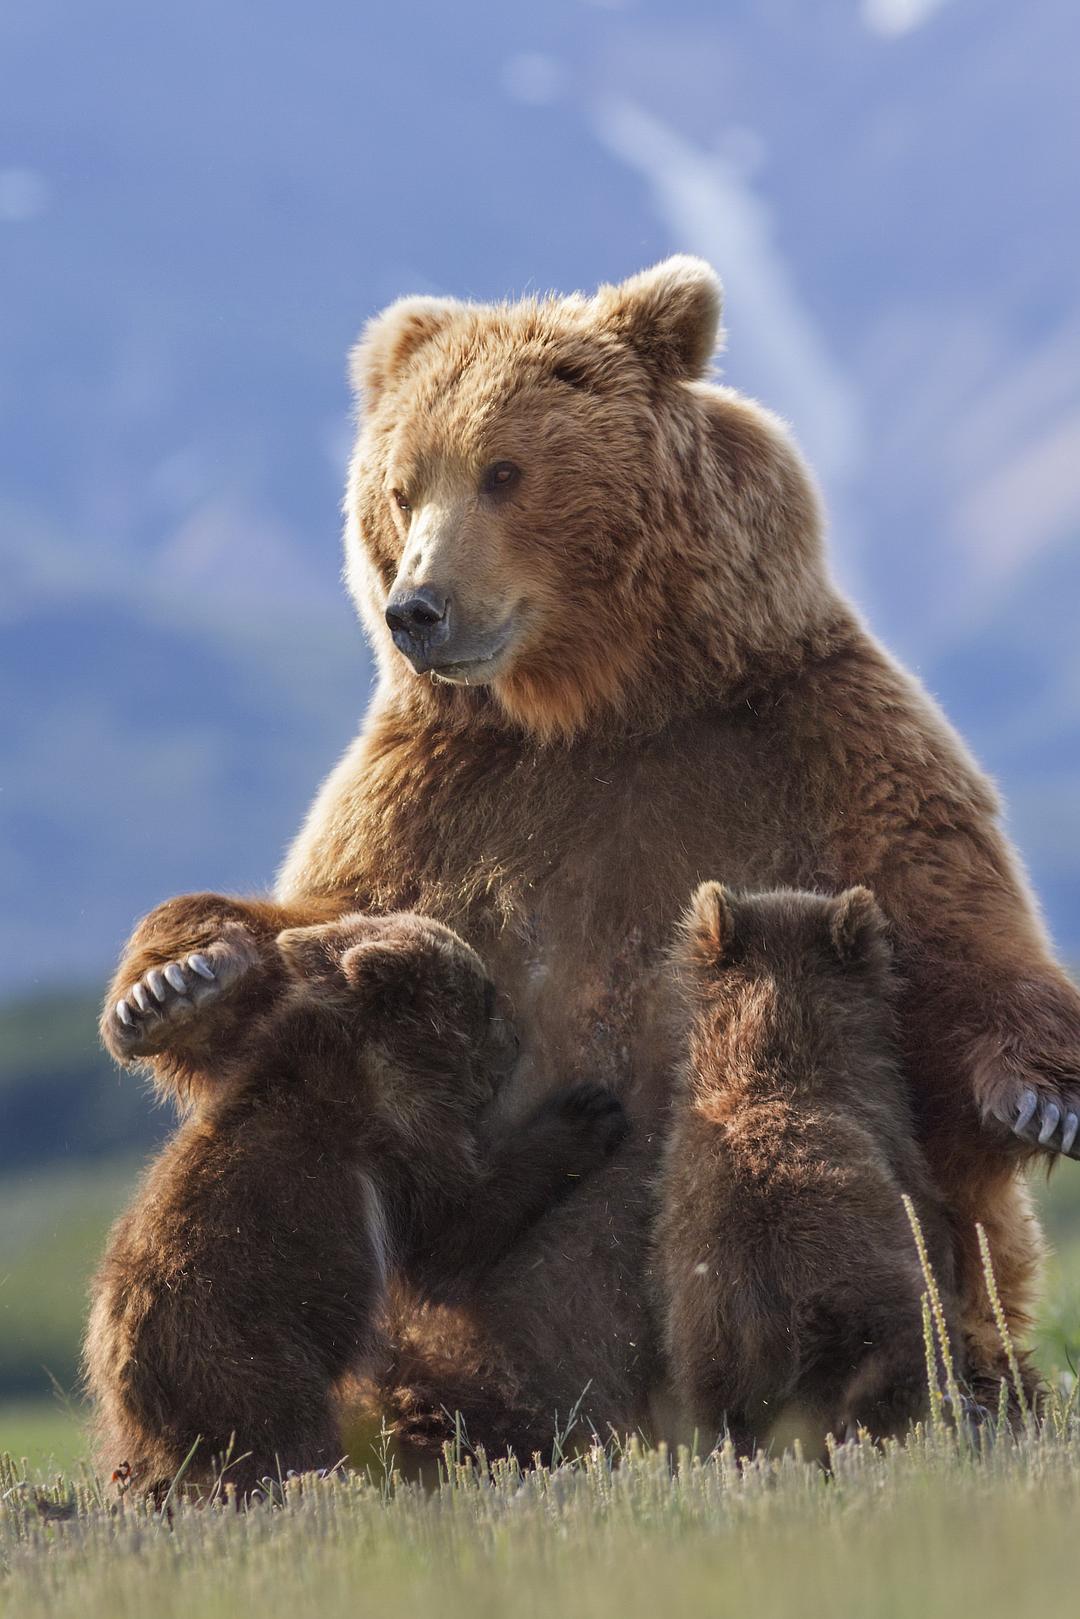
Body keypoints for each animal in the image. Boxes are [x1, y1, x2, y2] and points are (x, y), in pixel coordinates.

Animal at [85, 912, 627, 1498]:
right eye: (484, 993)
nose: (515, 1037)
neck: (372, 1052)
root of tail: (118, 1370)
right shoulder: (395, 1151)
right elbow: (453, 1233)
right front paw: (587, 1115)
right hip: (242, 1346)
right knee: (284, 1438)